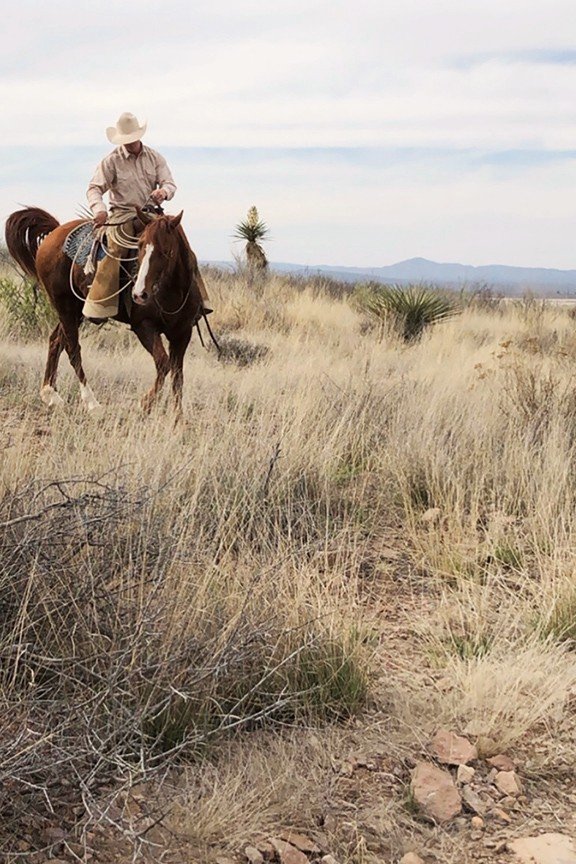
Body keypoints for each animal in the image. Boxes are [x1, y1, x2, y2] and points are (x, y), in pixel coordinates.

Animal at [4, 206, 207, 417]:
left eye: (167, 251)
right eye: (140, 245)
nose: (139, 294)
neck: (171, 292)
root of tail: (55, 232)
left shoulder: (182, 333)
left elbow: (177, 375)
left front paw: (178, 417)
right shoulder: (144, 327)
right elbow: (163, 364)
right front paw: (144, 404)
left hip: (76, 311)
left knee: (56, 341)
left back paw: (50, 394)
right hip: (65, 306)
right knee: (72, 348)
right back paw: (91, 402)